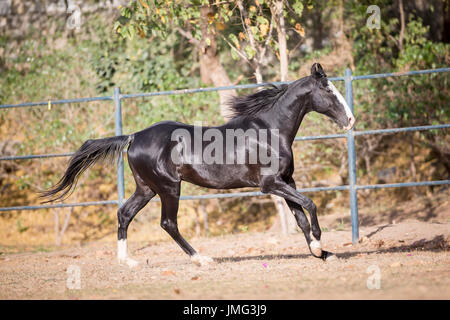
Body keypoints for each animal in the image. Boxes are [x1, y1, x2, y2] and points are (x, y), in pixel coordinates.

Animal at [41, 63, 356, 268]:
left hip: (146, 189)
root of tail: (133, 136)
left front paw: (321, 253)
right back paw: (202, 258)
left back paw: (128, 261)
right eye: (329, 91)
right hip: (169, 187)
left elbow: (300, 215)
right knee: (168, 223)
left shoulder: (286, 181)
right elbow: (310, 204)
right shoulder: (270, 185)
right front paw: (320, 245)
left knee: (124, 214)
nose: (351, 120)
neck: (270, 130)